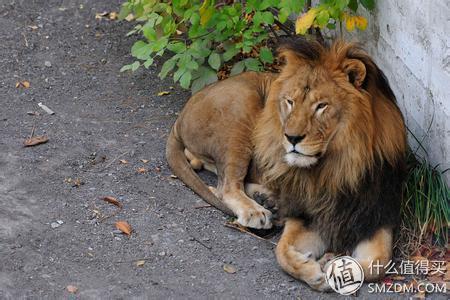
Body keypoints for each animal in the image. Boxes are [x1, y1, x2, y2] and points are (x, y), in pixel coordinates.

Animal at [166, 38, 408, 292]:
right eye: (290, 102)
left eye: (321, 105)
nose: (291, 137)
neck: (336, 167)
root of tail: (180, 117)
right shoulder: (303, 215)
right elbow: (282, 253)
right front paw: (315, 270)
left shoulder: (378, 218)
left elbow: (377, 264)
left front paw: (332, 264)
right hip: (241, 109)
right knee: (226, 186)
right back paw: (256, 211)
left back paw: (266, 198)